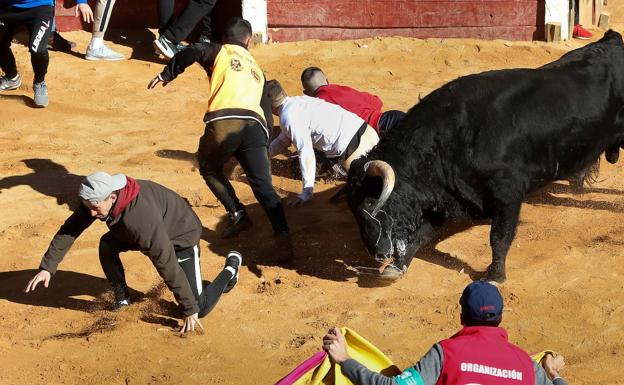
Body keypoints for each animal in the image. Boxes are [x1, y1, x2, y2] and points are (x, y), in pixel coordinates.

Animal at [346, 30, 624, 282]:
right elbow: (421, 235)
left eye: (370, 202)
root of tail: (612, 39)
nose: (377, 253)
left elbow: (499, 238)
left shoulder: (508, 195)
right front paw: (397, 267)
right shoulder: (446, 196)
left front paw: (495, 275)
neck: (450, 139)